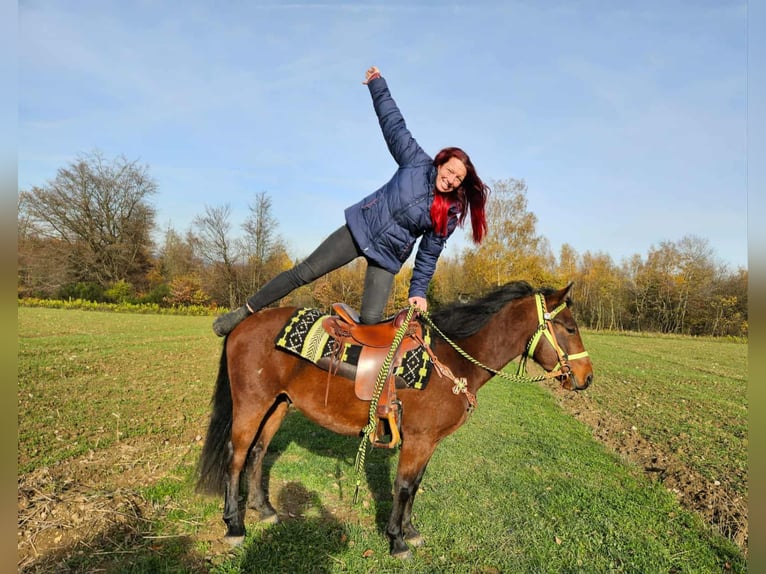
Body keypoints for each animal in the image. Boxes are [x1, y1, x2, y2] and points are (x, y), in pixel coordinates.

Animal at [196, 280, 594, 559]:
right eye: (570, 328)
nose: (587, 377)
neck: (452, 360)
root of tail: (244, 322)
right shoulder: (418, 439)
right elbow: (403, 487)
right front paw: (397, 540)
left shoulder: (428, 443)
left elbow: (414, 486)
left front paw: (410, 530)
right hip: (252, 404)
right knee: (236, 455)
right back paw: (235, 525)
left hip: (278, 405)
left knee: (258, 453)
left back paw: (263, 509)